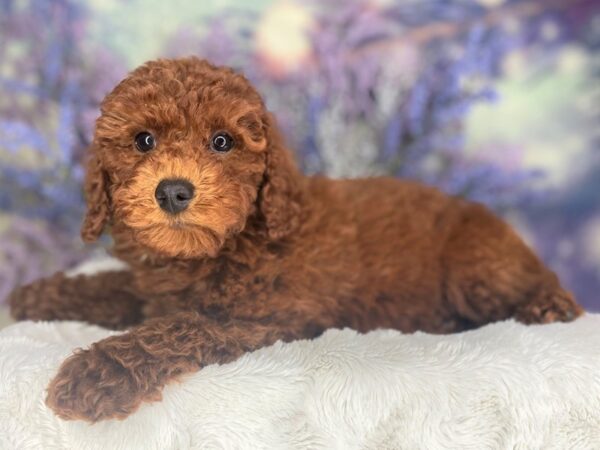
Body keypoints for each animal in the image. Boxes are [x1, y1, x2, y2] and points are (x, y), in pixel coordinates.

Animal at [8, 57, 580, 422]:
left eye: (222, 142)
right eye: (143, 140)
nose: (172, 191)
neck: (220, 246)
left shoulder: (259, 314)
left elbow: (172, 331)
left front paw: (93, 375)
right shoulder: (152, 291)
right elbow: (112, 290)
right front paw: (34, 295)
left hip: (475, 267)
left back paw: (548, 306)